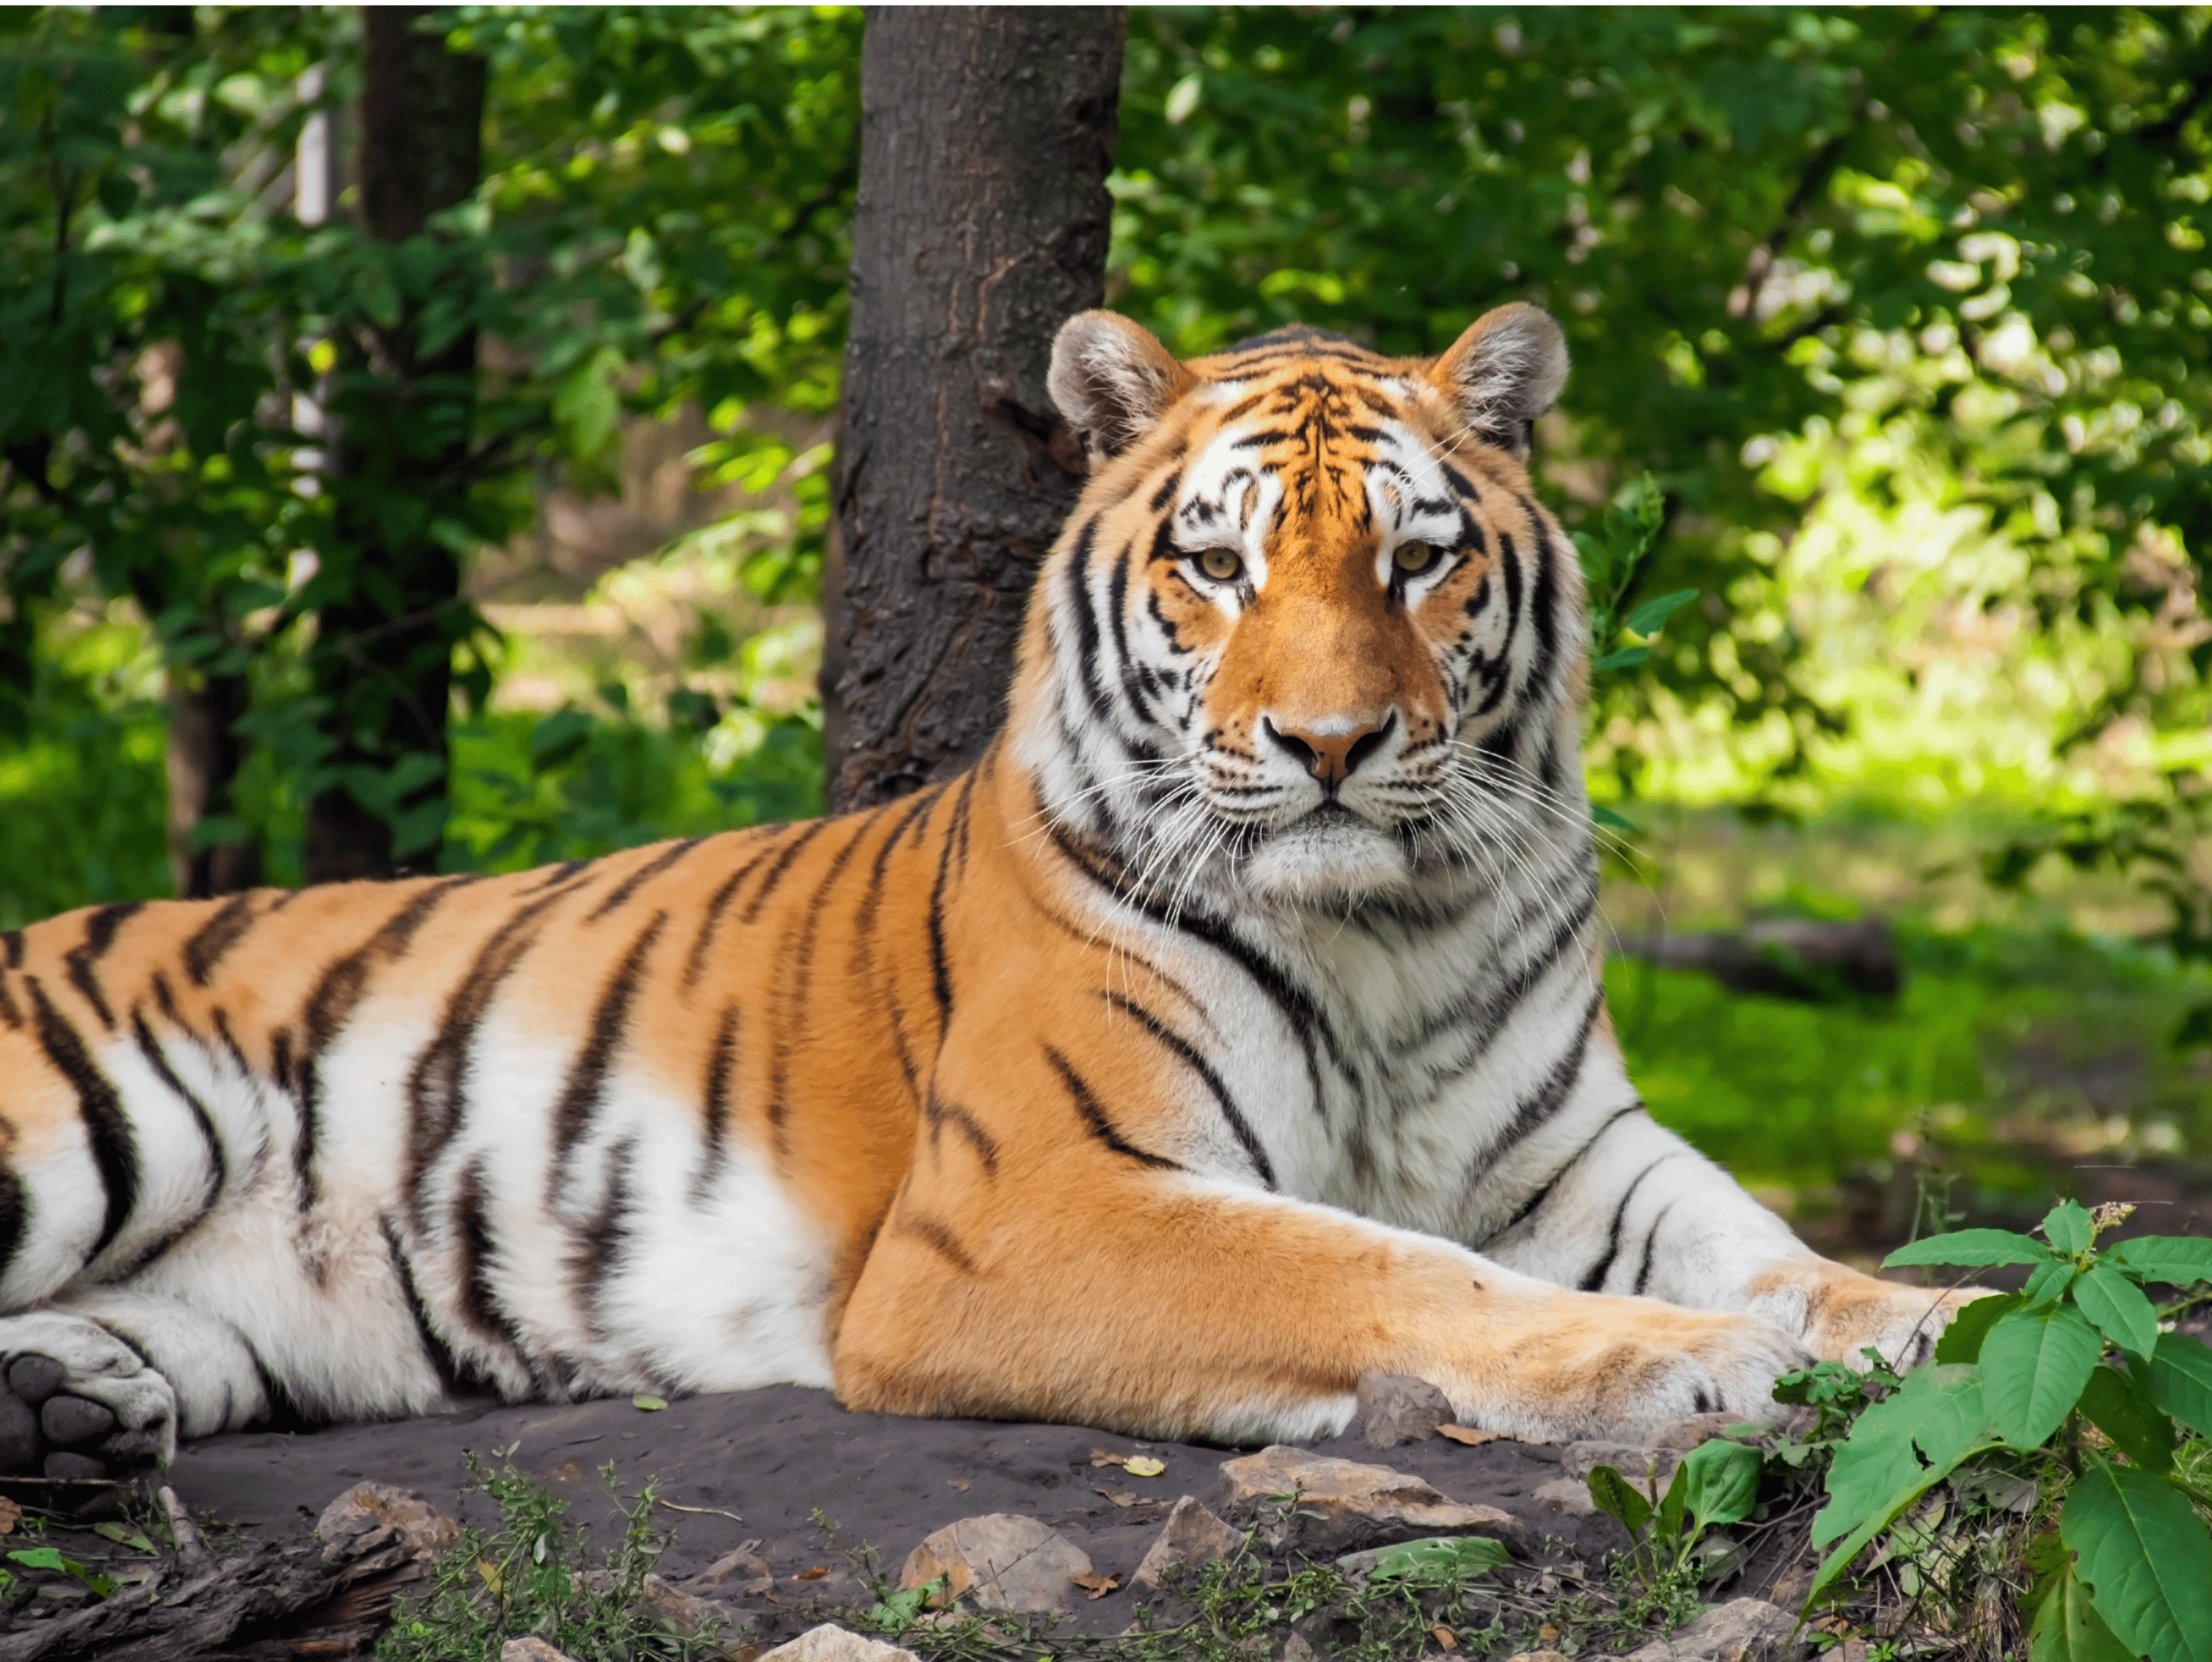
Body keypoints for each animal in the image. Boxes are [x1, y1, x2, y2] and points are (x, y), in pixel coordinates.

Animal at [0, 303, 1972, 1478]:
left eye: (1417, 562)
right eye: (1217, 566)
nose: (1333, 743)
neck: (1385, 932)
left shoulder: (1573, 1153)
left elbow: (1784, 1253)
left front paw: (1936, 1320)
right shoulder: (1036, 1203)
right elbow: (1396, 1271)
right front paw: (1694, 1366)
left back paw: (64, 1409)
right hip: (91, 1126)